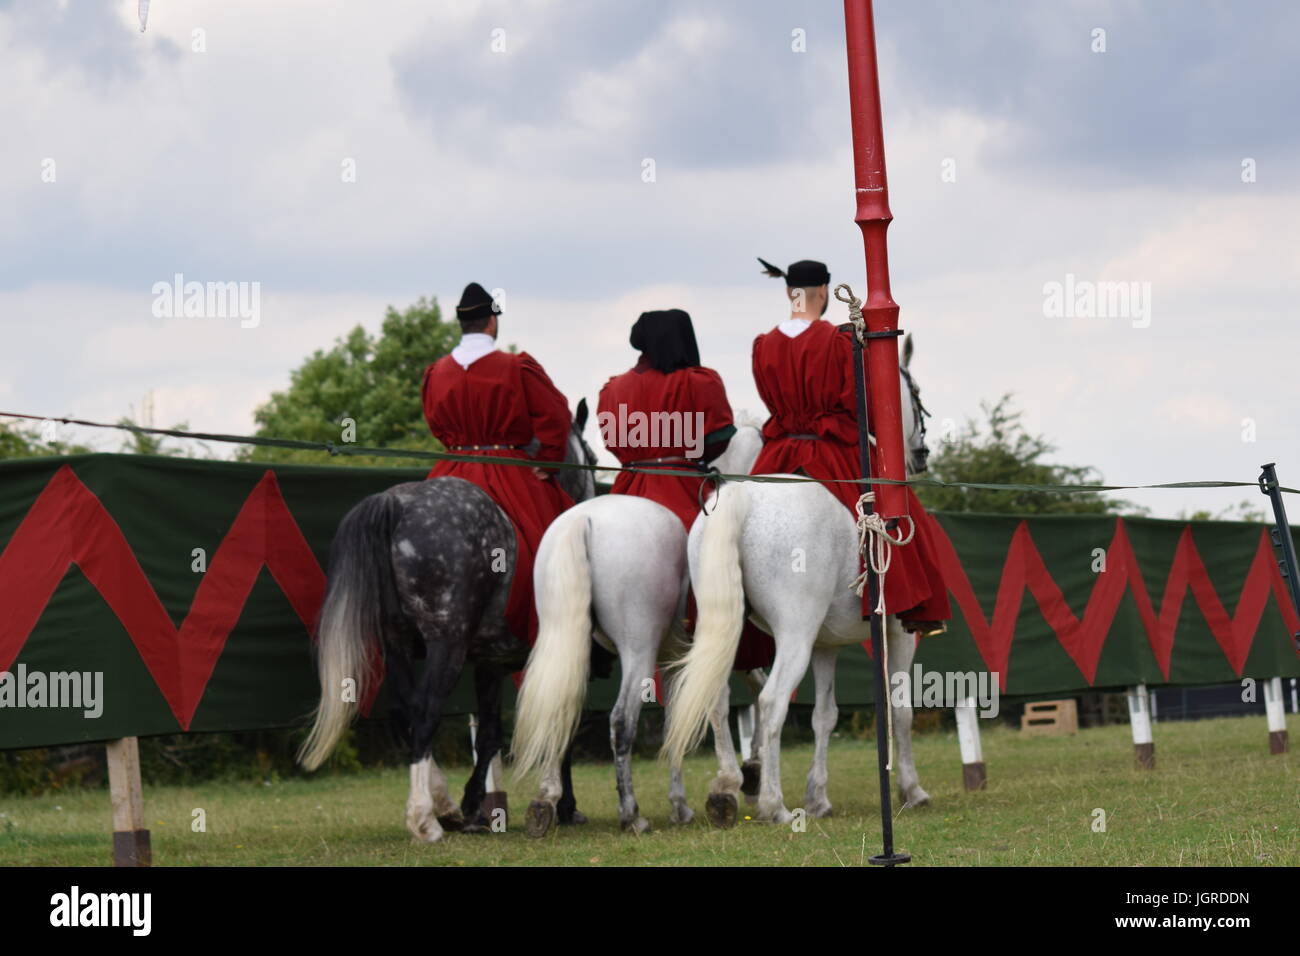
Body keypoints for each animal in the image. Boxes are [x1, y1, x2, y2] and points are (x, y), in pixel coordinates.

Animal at [512, 421, 764, 832]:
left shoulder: (676, 659)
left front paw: (682, 804)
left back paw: (545, 803)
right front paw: (734, 781)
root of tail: (582, 521)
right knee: (621, 720)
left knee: (556, 708)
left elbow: (678, 715)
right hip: (638, 651)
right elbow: (726, 699)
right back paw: (631, 813)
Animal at [660, 340, 935, 827]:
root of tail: (740, 498)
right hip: (795, 636)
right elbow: (900, 710)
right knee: (771, 702)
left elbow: (824, 716)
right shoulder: (899, 632)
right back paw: (774, 805)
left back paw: (729, 788)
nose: (921, 452)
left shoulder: (826, 646)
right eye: (915, 390)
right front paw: (911, 789)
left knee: (715, 695)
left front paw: (818, 796)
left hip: (733, 632)